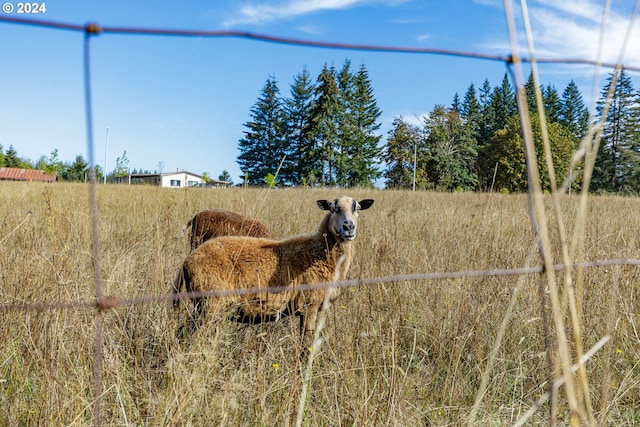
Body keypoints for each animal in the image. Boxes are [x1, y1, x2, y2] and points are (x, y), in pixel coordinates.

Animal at [174, 196, 376, 340]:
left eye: (357, 208)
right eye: (333, 208)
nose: (348, 227)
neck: (320, 251)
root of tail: (187, 261)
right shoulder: (309, 305)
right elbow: (306, 344)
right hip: (210, 304)